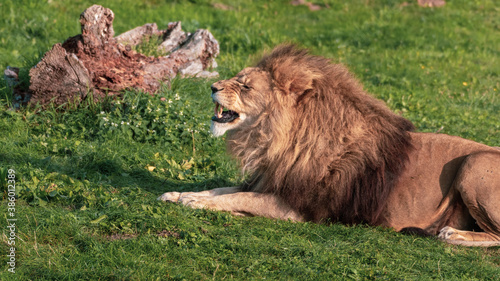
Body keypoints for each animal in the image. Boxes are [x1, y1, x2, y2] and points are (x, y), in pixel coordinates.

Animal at [159, 43, 500, 245]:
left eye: (245, 86)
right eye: (235, 78)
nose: (212, 87)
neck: (273, 140)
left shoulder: (300, 208)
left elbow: (238, 198)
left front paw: (194, 202)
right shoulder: (271, 182)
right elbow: (222, 190)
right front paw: (180, 195)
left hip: (475, 164)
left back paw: (453, 233)